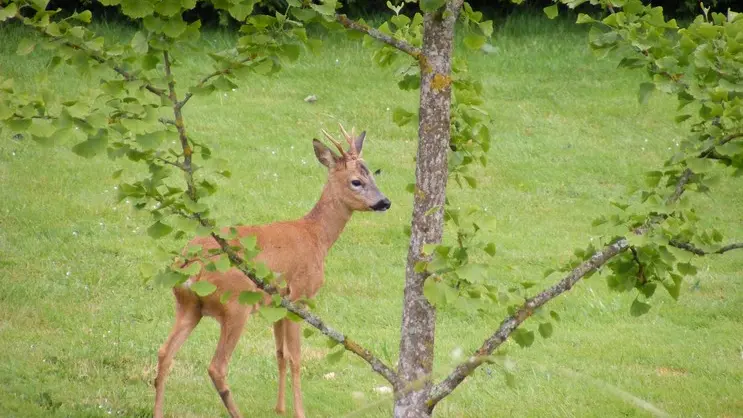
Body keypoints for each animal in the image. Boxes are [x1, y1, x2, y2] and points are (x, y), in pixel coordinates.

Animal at [154, 125, 392, 418]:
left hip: (188, 306)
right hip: (235, 305)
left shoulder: (277, 303)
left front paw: (279, 408)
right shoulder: (299, 296)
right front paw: (300, 412)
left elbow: (280, 355)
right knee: (217, 366)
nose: (384, 202)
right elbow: (296, 358)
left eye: (374, 173)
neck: (317, 237)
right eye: (356, 181)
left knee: (165, 353)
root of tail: (190, 266)